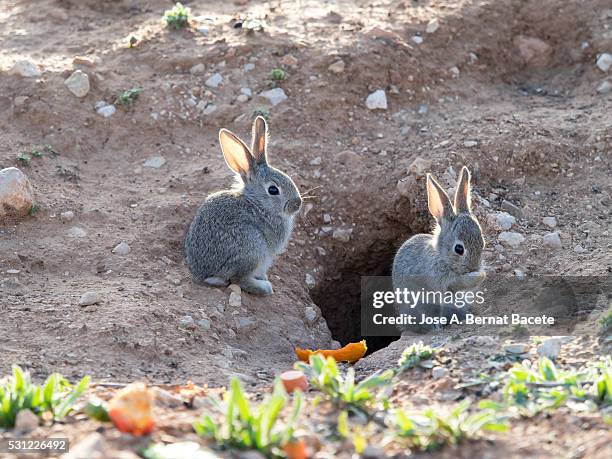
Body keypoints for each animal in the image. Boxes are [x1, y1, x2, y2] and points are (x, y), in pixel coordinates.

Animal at [185, 117, 302, 296]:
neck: (257, 202)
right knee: (239, 279)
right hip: (253, 247)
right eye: (273, 190)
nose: (297, 204)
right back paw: (264, 288)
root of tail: (206, 274)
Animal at [392, 167, 488, 332]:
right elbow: (457, 283)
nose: (474, 268)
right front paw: (477, 276)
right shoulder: (440, 280)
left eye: (483, 243)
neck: (442, 257)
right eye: (459, 249)